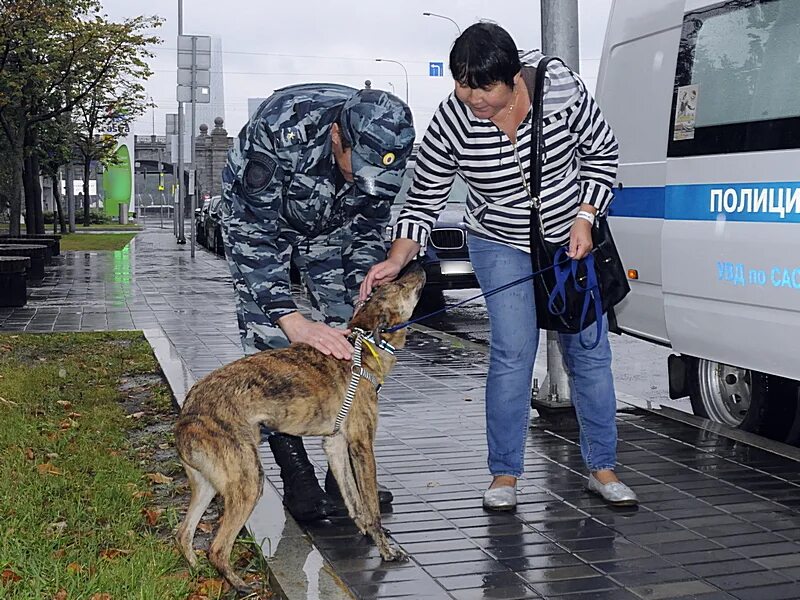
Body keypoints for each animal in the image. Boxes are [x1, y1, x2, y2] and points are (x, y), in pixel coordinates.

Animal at [174, 264, 424, 592]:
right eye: (398, 285)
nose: (417, 264)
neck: (363, 347)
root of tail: (186, 415)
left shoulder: (336, 446)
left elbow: (354, 501)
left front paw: (366, 532)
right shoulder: (362, 445)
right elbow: (371, 507)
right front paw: (385, 549)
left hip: (208, 484)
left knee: (183, 534)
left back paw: (196, 574)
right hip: (248, 481)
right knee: (216, 547)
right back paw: (240, 585)